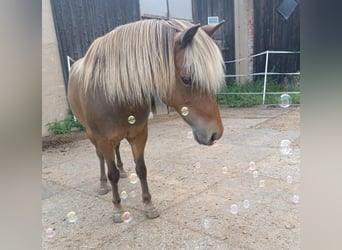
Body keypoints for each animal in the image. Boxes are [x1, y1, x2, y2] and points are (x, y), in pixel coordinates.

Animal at [68, 19, 226, 223]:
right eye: (186, 79)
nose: (216, 133)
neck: (114, 93)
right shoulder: (104, 139)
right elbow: (112, 174)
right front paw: (117, 208)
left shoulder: (139, 134)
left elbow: (141, 169)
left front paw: (148, 205)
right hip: (91, 135)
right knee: (100, 157)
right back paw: (103, 185)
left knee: (117, 150)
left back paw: (123, 171)